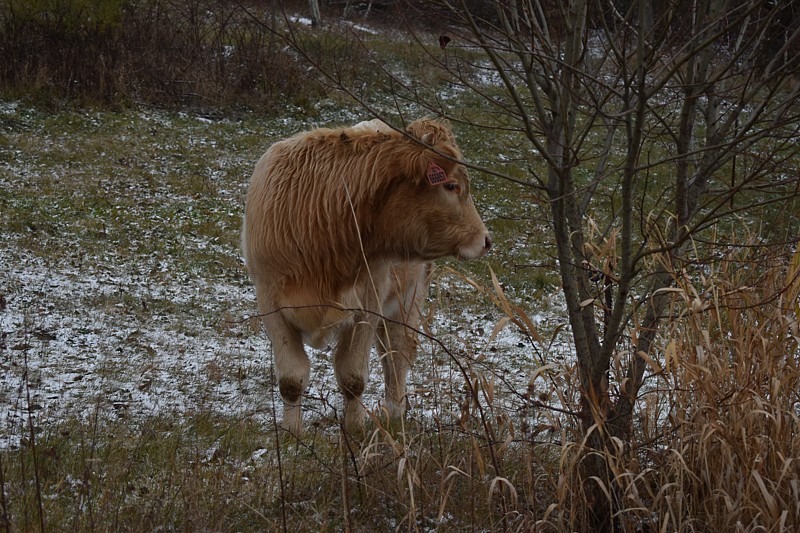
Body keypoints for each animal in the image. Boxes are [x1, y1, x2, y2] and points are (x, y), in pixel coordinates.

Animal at [242, 117, 494, 436]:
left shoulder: (368, 303)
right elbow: (291, 379)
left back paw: (395, 414)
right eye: (451, 186)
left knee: (397, 356)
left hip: (407, 299)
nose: (485, 240)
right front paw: (292, 433)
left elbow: (352, 377)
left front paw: (355, 429)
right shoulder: (269, 301)